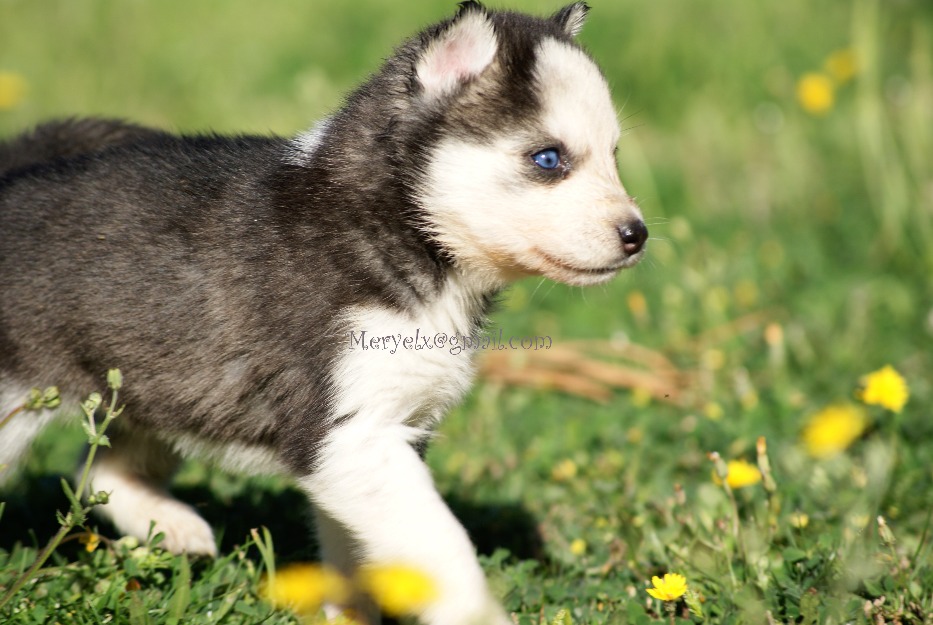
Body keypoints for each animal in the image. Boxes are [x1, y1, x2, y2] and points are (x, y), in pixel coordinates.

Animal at [0, 2, 644, 620]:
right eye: (548, 158)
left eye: (614, 156)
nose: (637, 234)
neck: (390, 227)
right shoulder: (352, 435)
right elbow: (442, 546)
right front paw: (477, 614)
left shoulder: (378, 439)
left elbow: (361, 555)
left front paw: (348, 615)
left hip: (158, 391)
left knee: (103, 469)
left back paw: (175, 527)